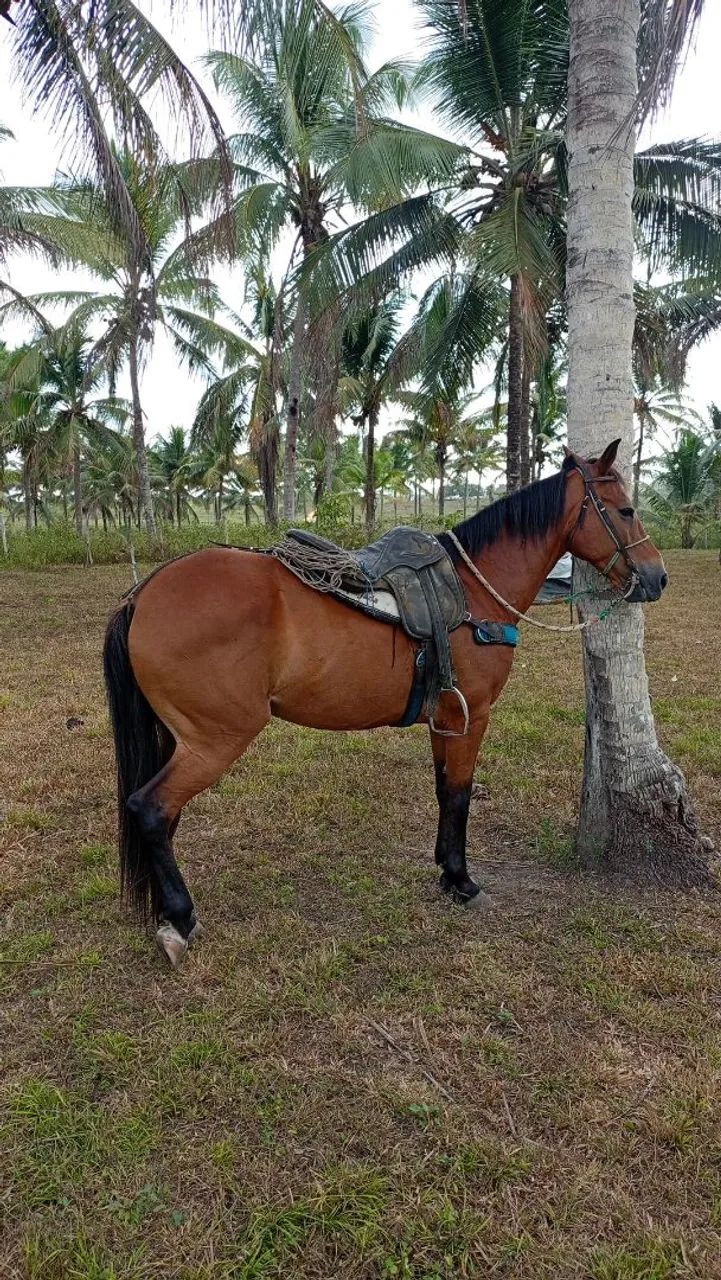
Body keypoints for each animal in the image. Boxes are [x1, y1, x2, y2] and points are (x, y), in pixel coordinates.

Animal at [103, 440, 668, 966]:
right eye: (625, 510)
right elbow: (461, 795)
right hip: (216, 739)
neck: (474, 591)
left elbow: (444, 791)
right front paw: (463, 881)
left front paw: (445, 869)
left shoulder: (445, 718)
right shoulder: (473, 718)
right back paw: (181, 917)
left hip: (184, 739)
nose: (657, 577)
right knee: (151, 808)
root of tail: (143, 594)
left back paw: (165, 911)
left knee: (162, 816)